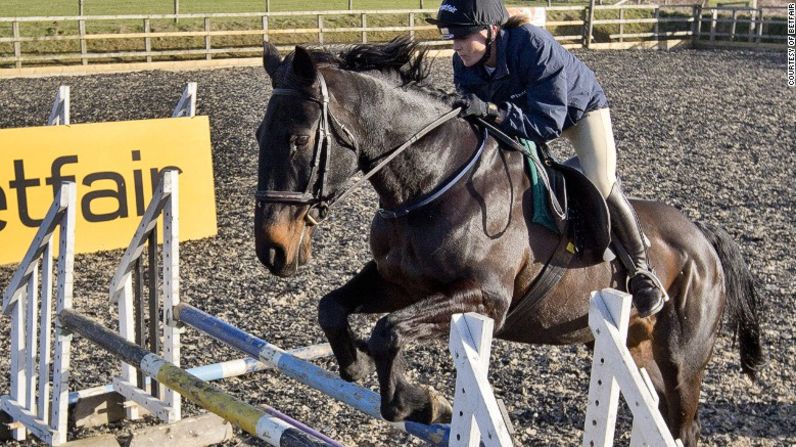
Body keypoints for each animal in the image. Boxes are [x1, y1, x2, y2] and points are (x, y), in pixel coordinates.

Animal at [255, 39, 764, 447]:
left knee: (683, 422)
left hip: (682, 359)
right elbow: (333, 308)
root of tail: (703, 238)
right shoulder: (396, 283)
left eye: (299, 139)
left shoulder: (485, 300)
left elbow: (389, 332)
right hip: (634, 345)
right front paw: (356, 367)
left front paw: (424, 403)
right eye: (260, 135)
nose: (273, 250)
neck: (431, 180)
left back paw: (645, 284)